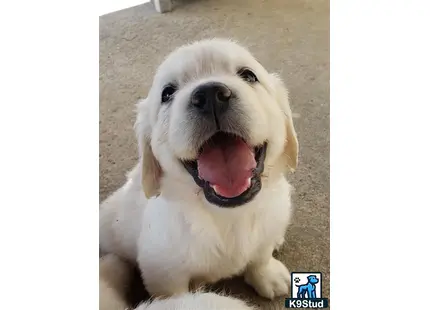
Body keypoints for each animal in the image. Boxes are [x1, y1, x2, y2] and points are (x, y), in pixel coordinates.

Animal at [99, 37, 298, 300]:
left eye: (248, 75)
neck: (229, 215)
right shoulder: (163, 273)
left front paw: (267, 275)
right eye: (167, 93)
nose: (210, 94)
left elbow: (260, 254)